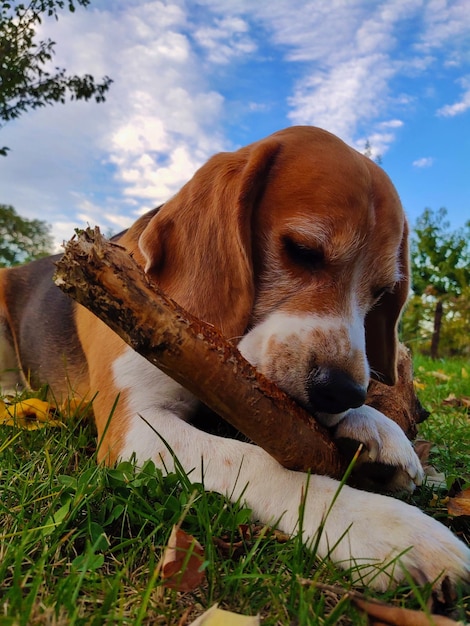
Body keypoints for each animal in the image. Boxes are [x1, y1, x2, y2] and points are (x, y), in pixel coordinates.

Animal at [0, 128, 470, 588]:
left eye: (381, 293)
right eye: (301, 250)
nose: (341, 392)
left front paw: (377, 428)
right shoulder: (132, 428)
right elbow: (256, 461)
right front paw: (384, 527)